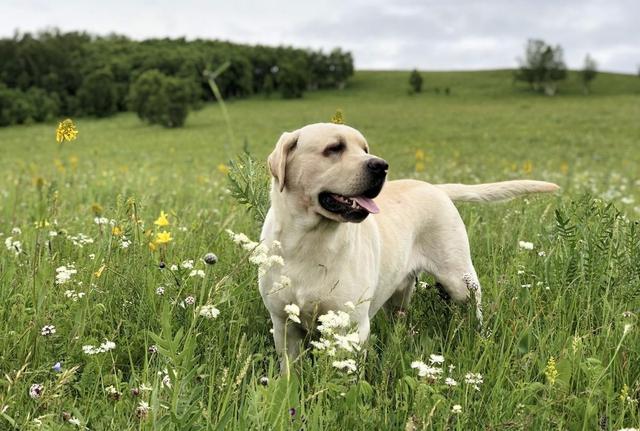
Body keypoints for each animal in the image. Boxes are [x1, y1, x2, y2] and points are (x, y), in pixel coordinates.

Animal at [258, 122, 556, 372]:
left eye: (364, 149)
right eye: (334, 148)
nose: (381, 165)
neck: (308, 240)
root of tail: (436, 187)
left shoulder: (352, 326)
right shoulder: (283, 324)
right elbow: (289, 371)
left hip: (459, 280)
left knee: (474, 308)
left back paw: (477, 335)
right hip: (399, 294)